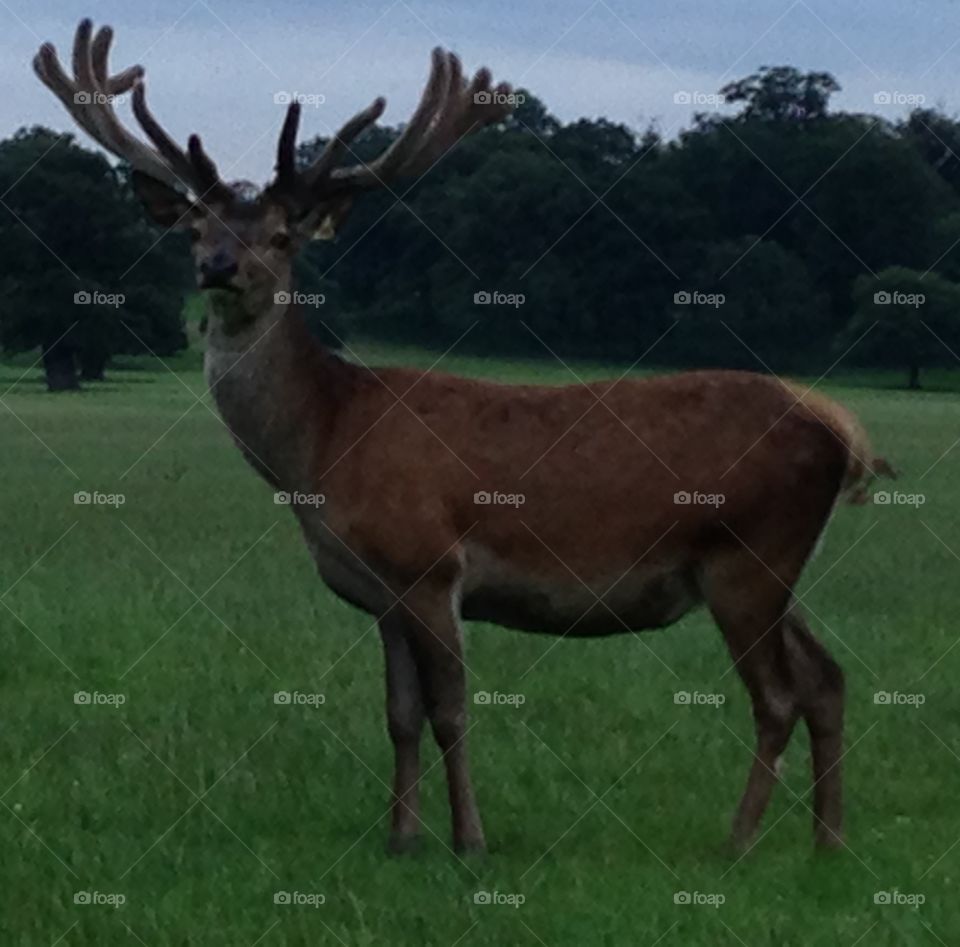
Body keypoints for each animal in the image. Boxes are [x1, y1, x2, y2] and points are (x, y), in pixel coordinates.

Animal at [36, 19, 893, 858]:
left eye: (281, 236)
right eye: (194, 229)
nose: (217, 267)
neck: (323, 444)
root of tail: (837, 425)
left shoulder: (428, 563)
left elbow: (451, 710)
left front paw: (470, 839)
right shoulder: (382, 592)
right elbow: (398, 715)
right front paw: (401, 835)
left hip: (749, 555)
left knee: (778, 695)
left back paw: (739, 840)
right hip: (766, 569)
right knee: (828, 678)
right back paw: (828, 839)